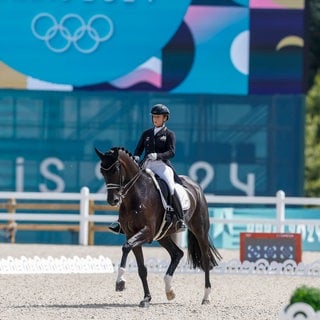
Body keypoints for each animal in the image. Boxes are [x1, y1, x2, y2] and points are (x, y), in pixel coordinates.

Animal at [94, 147, 221, 308]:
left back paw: (206, 297)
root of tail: (195, 185)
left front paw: (120, 282)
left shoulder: (147, 233)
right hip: (163, 236)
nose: (113, 200)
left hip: (200, 230)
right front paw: (146, 298)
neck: (136, 195)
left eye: (116, 169)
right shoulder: (131, 233)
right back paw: (169, 291)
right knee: (177, 254)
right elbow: (141, 268)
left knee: (205, 259)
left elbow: (126, 247)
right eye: (102, 171)